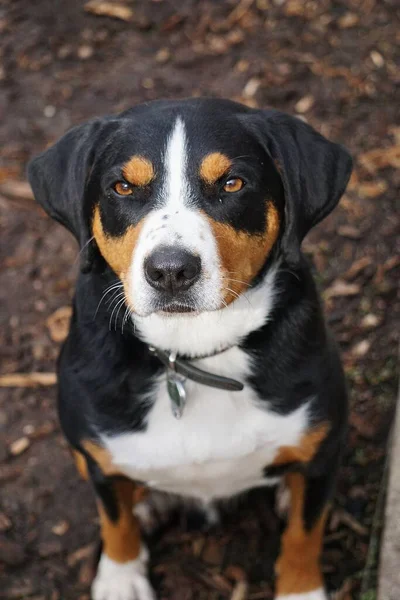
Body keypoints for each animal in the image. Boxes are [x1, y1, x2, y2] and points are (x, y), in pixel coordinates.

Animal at [28, 98, 354, 600]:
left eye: (232, 183)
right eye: (123, 187)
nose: (170, 271)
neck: (192, 356)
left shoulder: (322, 449)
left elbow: (305, 532)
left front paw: (300, 590)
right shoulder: (95, 453)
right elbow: (115, 520)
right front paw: (121, 577)